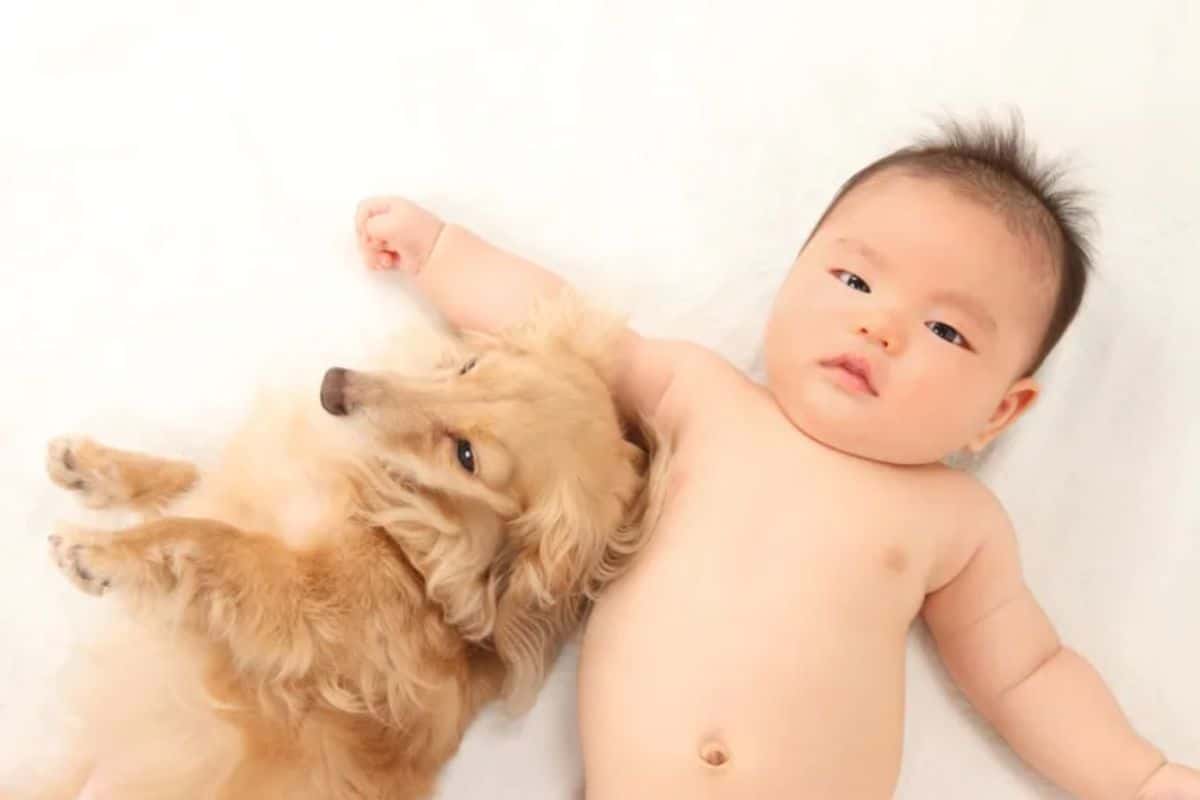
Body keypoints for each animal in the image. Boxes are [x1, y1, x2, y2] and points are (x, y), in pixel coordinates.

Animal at [28, 296, 662, 800]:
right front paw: (92, 465)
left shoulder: (300, 602)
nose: (333, 385)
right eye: (468, 366)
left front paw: (100, 551)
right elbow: (185, 479)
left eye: (466, 456)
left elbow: (210, 537)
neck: (404, 536)